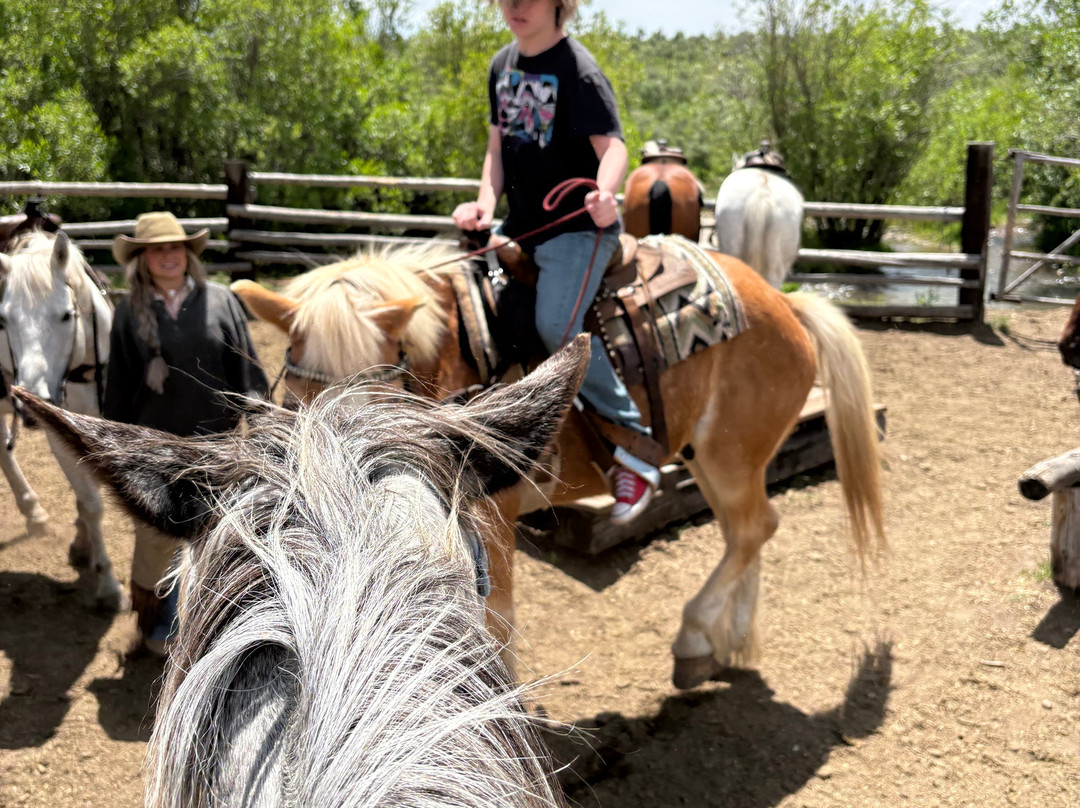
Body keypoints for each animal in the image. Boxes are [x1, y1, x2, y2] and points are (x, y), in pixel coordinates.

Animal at [0, 230, 124, 611]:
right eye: (4, 320)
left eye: (67, 315)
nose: (30, 402)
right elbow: (92, 503)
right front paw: (107, 582)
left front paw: (82, 544)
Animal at [232, 239, 885, 690]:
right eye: (297, 400)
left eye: (384, 389)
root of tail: (786, 303)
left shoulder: (491, 525)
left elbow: (494, 625)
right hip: (720, 460)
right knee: (747, 531)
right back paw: (729, 643)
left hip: (729, 456)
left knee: (752, 528)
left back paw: (696, 636)